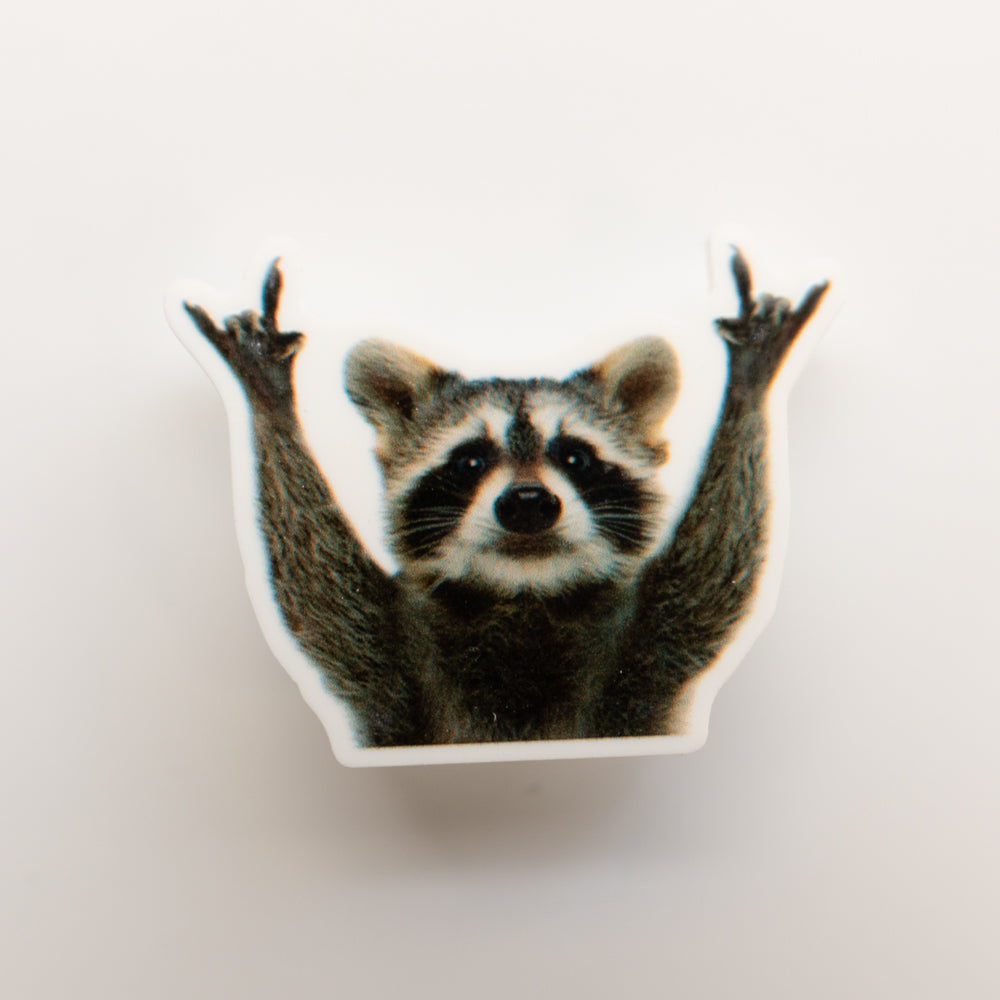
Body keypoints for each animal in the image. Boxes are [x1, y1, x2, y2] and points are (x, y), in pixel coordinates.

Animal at [183, 250, 827, 747]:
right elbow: (319, 588)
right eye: (470, 461)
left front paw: (748, 382)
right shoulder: (390, 659)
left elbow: (716, 565)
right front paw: (270, 399)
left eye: (575, 457)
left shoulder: (649, 651)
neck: (524, 596)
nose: (527, 503)